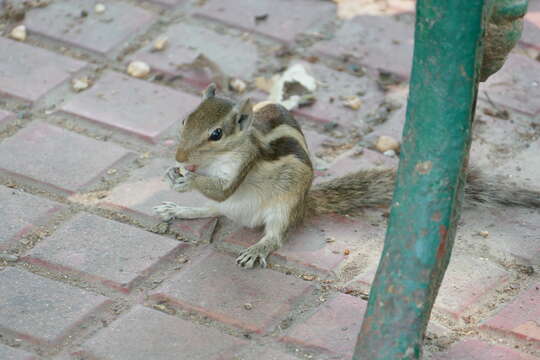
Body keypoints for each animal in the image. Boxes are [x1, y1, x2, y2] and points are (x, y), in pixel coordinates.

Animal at [152, 84, 540, 268]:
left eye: (216, 134)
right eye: (186, 119)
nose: (179, 156)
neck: (218, 158)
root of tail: (305, 205)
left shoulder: (241, 167)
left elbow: (221, 189)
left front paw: (188, 178)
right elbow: (211, 195)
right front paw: (174, 174)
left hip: (284, 204)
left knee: (273, 234)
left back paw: (259, 246)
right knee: (212, 211)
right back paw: (177, 209)